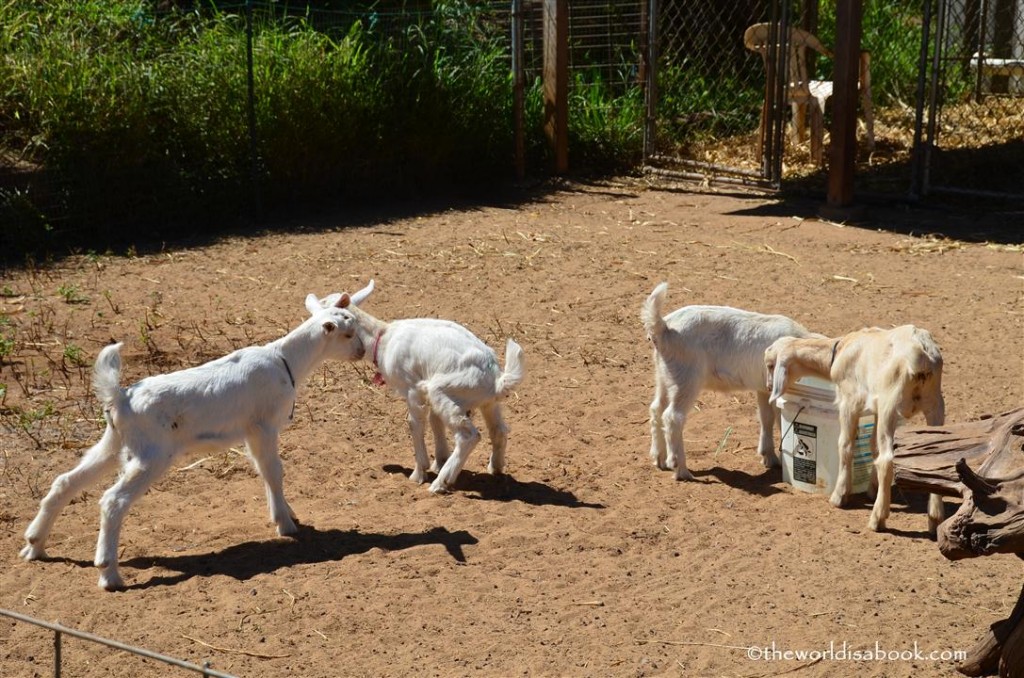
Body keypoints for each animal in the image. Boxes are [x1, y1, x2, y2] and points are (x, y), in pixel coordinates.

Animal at [337, 299, 524, 493]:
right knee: (498, 430)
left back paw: (441, 483)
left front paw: (419, 473)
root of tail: (496, 379)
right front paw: (439, 461)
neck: (383, 339)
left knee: (468, 437)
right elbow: (435, 421)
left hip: (442, 390)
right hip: (484, 402)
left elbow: (415, 424)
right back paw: (495, 467)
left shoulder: (413, 389)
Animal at [770, 325, 942, 536]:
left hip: (890, 404)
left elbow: (845, 445)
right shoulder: (874, 408)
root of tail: (921, 353)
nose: (768, 386)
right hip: (934, 403)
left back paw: (878, 518)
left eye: (770, 365)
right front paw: (872, 490)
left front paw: (840, 495)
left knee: (886, 460)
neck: (840, 351)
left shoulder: (848, 401)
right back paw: (935, 518)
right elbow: (873, 447)